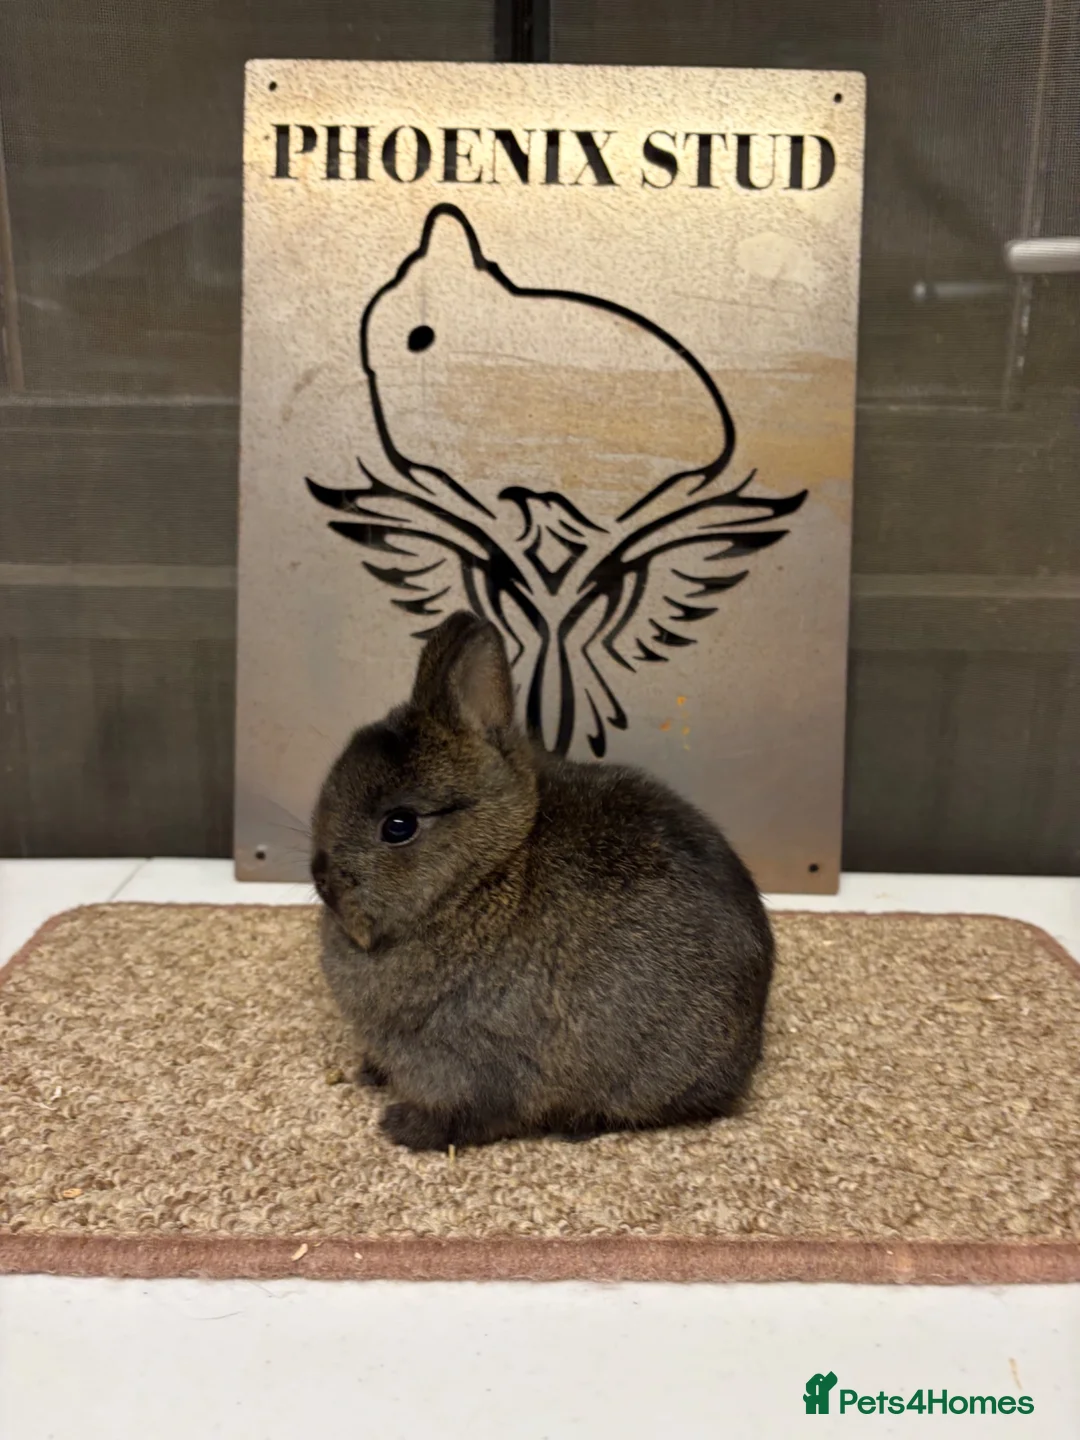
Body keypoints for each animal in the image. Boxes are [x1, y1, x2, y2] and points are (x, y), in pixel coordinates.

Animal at [311, 610, 774, 1152]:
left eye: (398, 826)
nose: (322, 880)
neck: (482, 878)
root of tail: (747, 1049)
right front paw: (369, 1074)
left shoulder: (478, 1064)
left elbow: (469, 1115)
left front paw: (402, 1127)